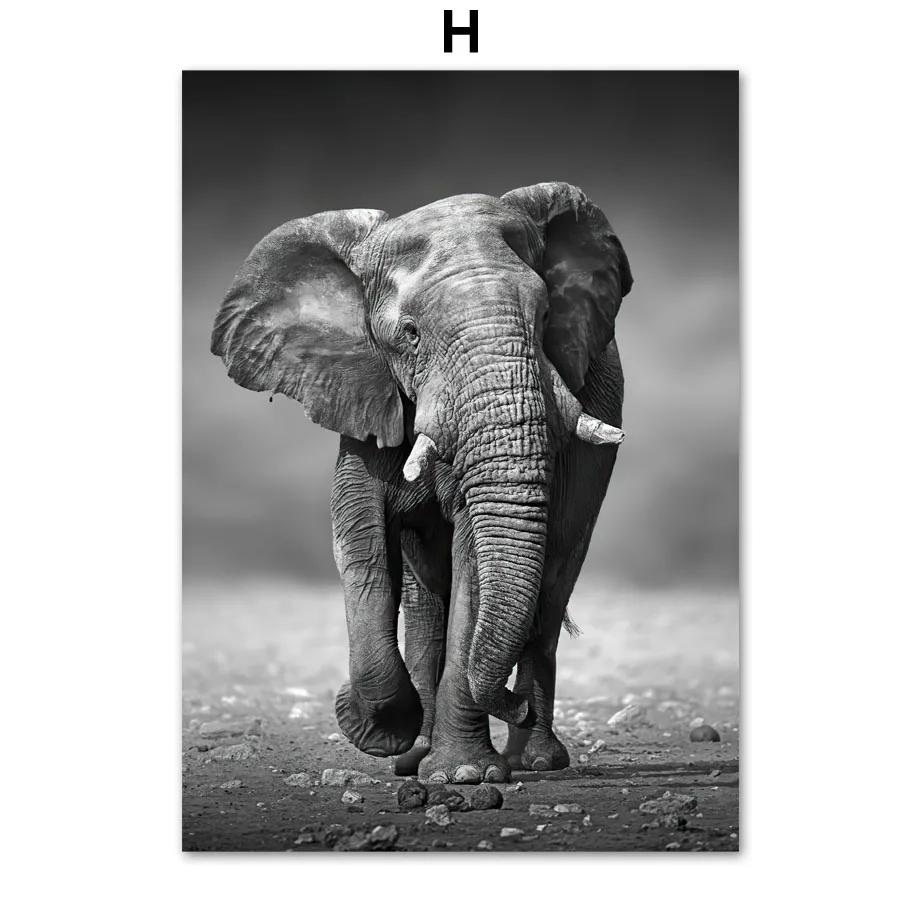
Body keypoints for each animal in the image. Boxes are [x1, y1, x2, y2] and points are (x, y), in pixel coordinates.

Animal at [211, 182, 633, 783]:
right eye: (409, 335)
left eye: (548, 314)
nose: (512, 705)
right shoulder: (363, 393)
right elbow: (360, 545)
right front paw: (380, 731)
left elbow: (473, 559)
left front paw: (465, 776)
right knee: (427, 601)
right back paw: (417, 756)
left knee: (551, 586)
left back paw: (533, 760)